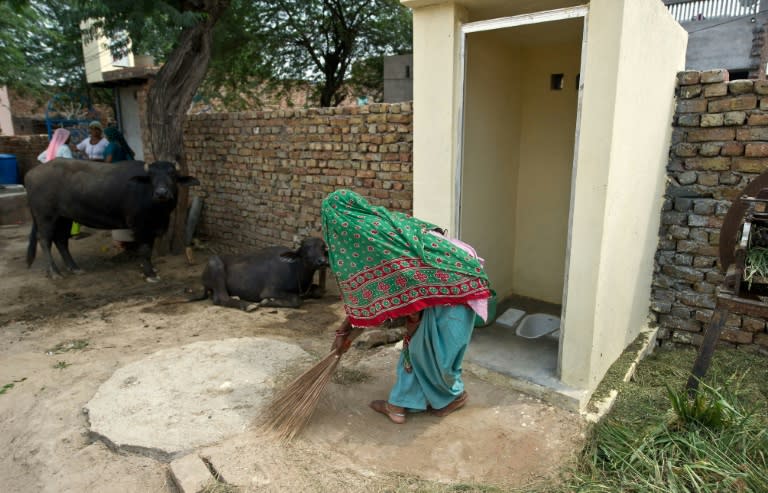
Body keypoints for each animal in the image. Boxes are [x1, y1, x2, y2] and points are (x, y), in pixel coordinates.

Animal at [26, 159, 200, 280]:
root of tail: (30, 174)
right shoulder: (139, 226)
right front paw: (150, 274)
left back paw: (75, 268)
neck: (158, 210)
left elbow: (149, 249)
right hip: (45, 216)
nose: (161, 193)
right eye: (151, 176)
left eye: (173, 175)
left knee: (61, 240)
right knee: (44, 240)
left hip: (64, 218)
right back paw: (54, 272)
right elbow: (144, 250)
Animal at [194, 236, 328, 310]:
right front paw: (267, 302)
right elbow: (296, 300)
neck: (295, 269)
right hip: (216, 266)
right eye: (306, 248)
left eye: (323, 248)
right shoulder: (270, 291)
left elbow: (319, 291)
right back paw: (248, 305)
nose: (322, 261)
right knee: (221, 298)